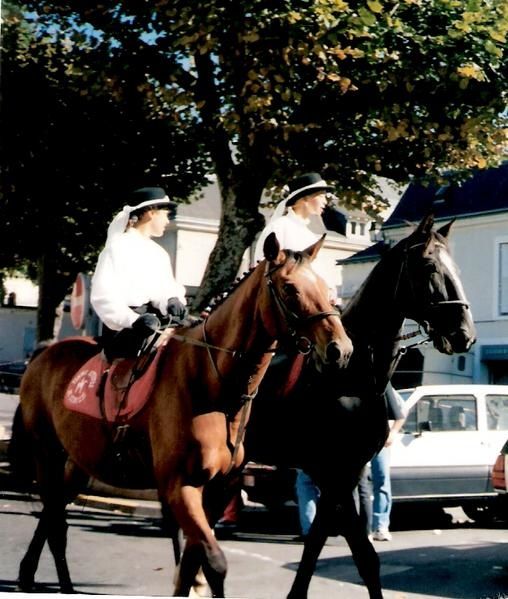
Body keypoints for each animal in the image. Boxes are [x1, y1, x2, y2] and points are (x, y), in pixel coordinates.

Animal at [11, 233, 354, 599]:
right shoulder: (180, 486)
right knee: (54, 520)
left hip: (79, 463)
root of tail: (41, 357)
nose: (340, 349)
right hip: (47, 454)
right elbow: (214, 562)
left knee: (52, 516)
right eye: (290, 289)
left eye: (324, 285)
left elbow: (194, 562)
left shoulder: (217, 488)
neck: (211, 383)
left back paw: (46, 579)